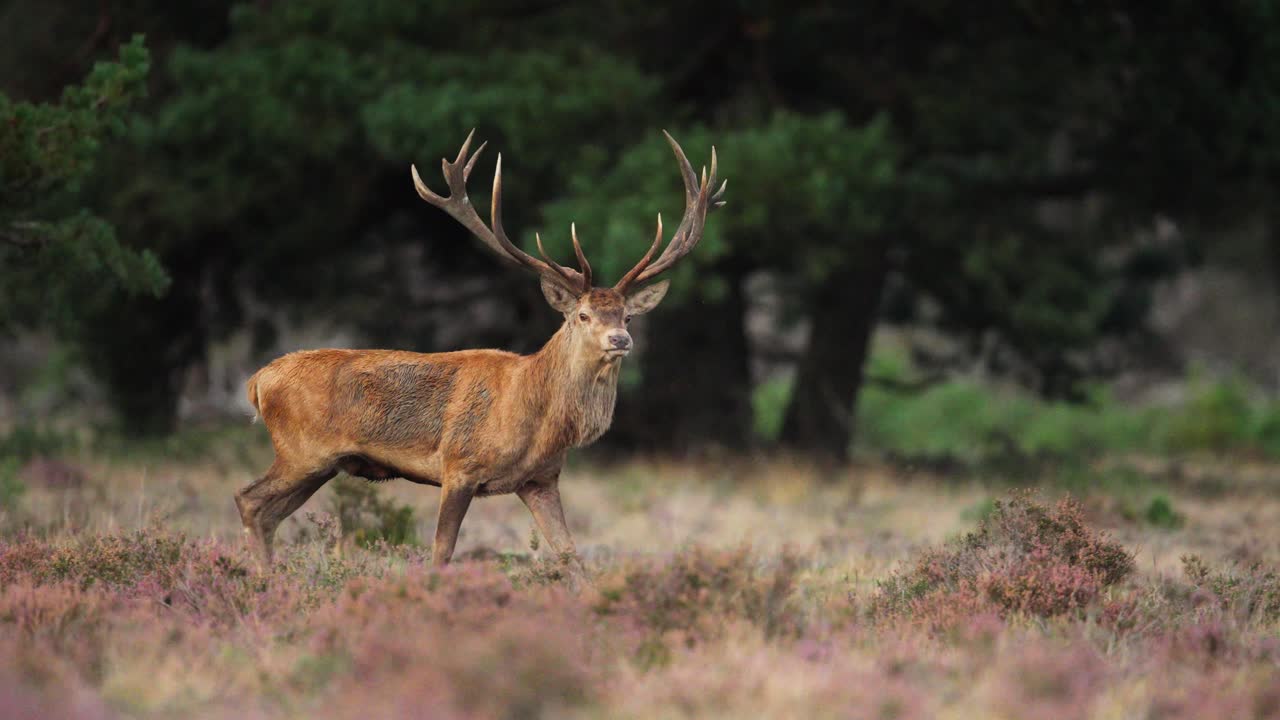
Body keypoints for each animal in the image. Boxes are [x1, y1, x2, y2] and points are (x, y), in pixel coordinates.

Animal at [234, 130, 725, 581]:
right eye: (583, 314)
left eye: (627, 315)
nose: (620, 340)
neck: (538, 418)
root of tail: (257, 381)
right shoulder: (459, 465)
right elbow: (442, 550)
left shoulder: (541, 479)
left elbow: (571, 554)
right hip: (302, 450)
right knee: (248, 499)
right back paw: (263, 582)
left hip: (321, 464)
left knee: (267, 512)